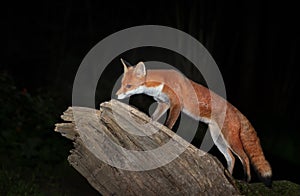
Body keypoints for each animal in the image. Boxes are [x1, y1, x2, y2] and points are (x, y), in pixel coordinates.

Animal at [116, 58, 274, 187]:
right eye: (122, 84)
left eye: (129, 86)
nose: (117, 95)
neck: (161, 83)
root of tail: (235, 109)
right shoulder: (163, 104)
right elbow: (154, 118)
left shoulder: (176, 105)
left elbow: (168, 125)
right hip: (218, 139)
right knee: (232, 158)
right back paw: (229, 177)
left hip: (230, 139)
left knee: (244, 157)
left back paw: (246, 180)